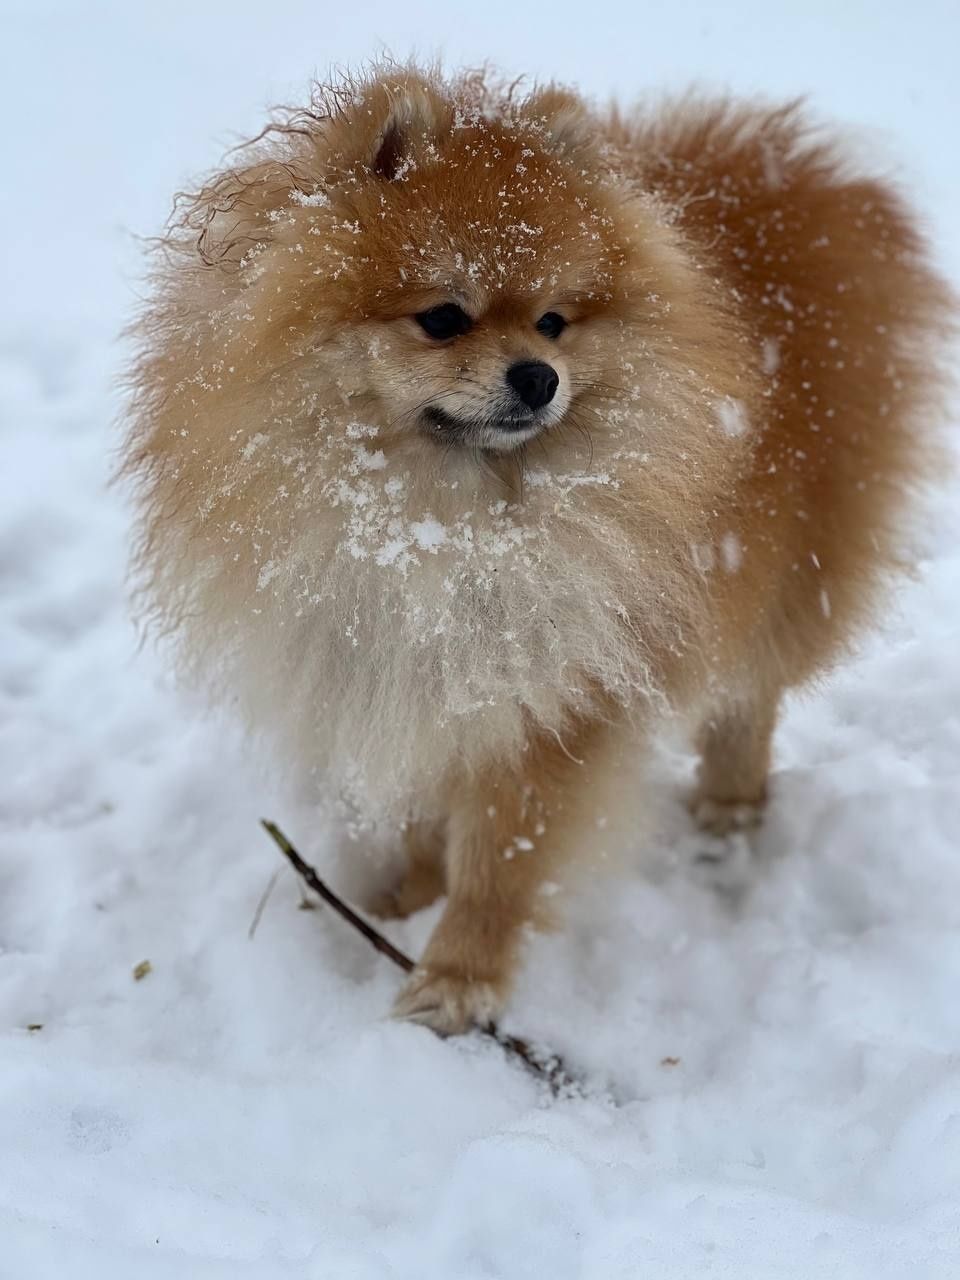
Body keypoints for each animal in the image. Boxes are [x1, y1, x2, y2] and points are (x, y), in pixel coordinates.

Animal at [124, 64, 957, 1034]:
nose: (537, 376)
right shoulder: (405, 664)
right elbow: (423, 803)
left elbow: (500, 854)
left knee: (749, 695)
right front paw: (406, 898)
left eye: (555, 322)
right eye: (444, 317)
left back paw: (727, 810)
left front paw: (457, 977)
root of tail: (800, 174)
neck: (445, 521)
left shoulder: (557, 696)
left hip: (791, 570)